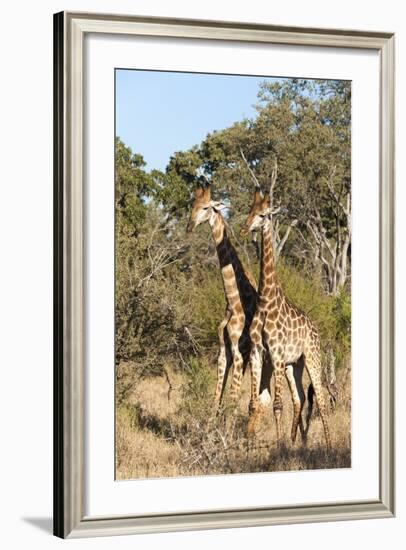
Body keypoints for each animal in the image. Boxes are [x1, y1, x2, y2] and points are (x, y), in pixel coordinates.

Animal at [241, 185, 330, 448]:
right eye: (250, 211)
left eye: (263, 215)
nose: (244, 228)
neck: (265, 301)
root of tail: (315, 328)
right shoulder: (258, 353)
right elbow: (253, 404)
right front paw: (248, 446)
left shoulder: (277, 355)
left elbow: (278, 405)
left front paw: (279, 447)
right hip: (294, 365)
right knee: (299, 398)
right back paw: (294, 442)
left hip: (311, 356)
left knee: (321, 400)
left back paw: (329, 445)